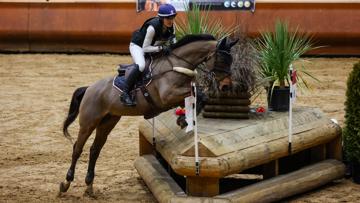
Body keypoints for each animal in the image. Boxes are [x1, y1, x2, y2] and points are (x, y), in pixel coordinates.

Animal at [58, 34, 239, 196]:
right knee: (77, 148)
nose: (226, 86)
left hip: (108, 122)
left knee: (95, 149)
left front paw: (183, 120)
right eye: (223, 60)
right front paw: (183, 120)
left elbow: (200, 96)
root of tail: (89, 88)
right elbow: (199, 93)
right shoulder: (167, 96)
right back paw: (66, 183)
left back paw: (89, 185)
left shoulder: (180, 94)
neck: (176, 65)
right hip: (88, 122)